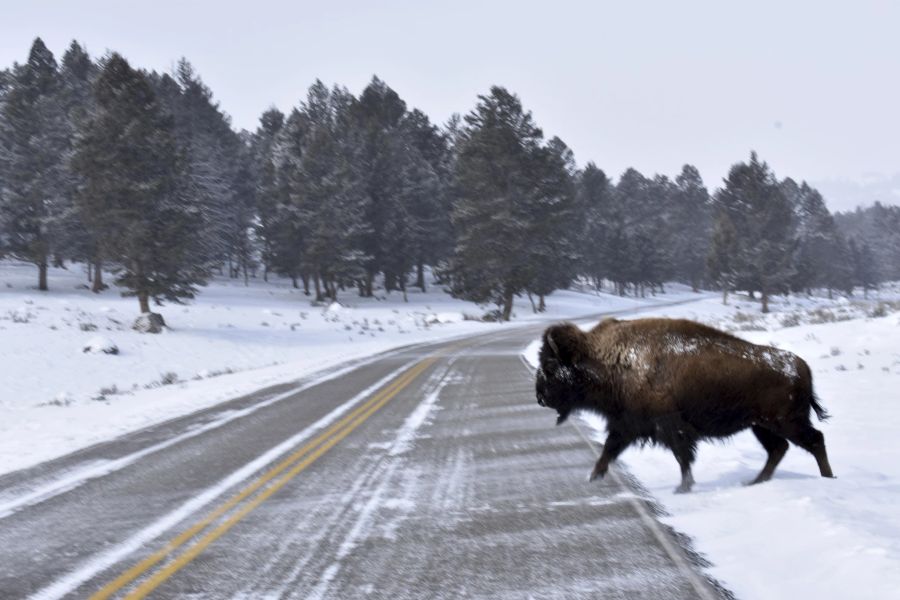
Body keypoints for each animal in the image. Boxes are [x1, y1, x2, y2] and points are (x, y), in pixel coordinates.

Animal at [536, 318, 836, 492]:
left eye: (550, 366)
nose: (540, 397)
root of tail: (802, 366)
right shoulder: (627, 425)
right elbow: (609, 450)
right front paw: (593, 477)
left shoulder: (670, 427)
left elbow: (682, 456)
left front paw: (683, 487)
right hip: (761, 426)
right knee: (779, 449)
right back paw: (754, 482)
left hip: (785, 422)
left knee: (814, 440)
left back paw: (827, 479)